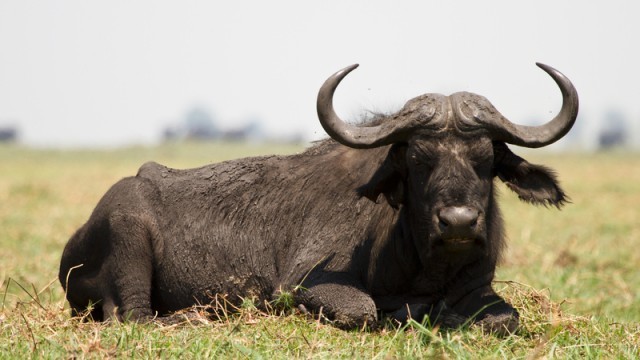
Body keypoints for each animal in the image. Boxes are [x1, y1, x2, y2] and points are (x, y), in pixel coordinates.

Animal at [60, 62, 580, 334]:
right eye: (418, 159)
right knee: (134, 315)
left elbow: (505, 318)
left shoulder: (478, 288)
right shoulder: (303, 284)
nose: (457, 222)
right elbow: (364, 310)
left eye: (485, 159)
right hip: (128, 234)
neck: (421, 263)